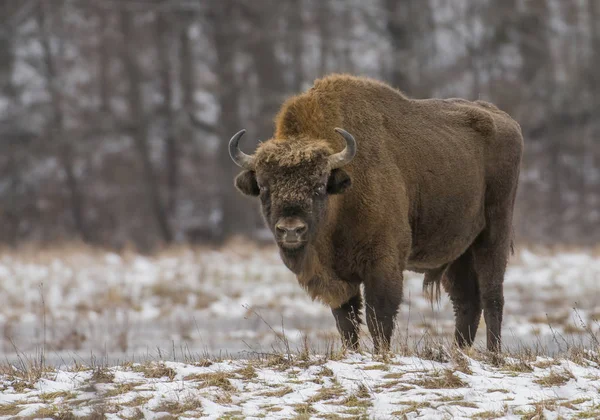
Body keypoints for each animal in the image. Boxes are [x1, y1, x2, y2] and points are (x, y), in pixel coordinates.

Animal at [227, 74, 524, 352]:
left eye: (319, 185)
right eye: (265, 187)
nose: (291, 229)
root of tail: (509, 122)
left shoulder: (383, 263)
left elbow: (378, 317)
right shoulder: (340, 278)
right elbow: (346, 321)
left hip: (493, 236)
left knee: (492, 297)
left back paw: (493, 353)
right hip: (459, 252)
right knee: (467, 302)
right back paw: (459, 351)